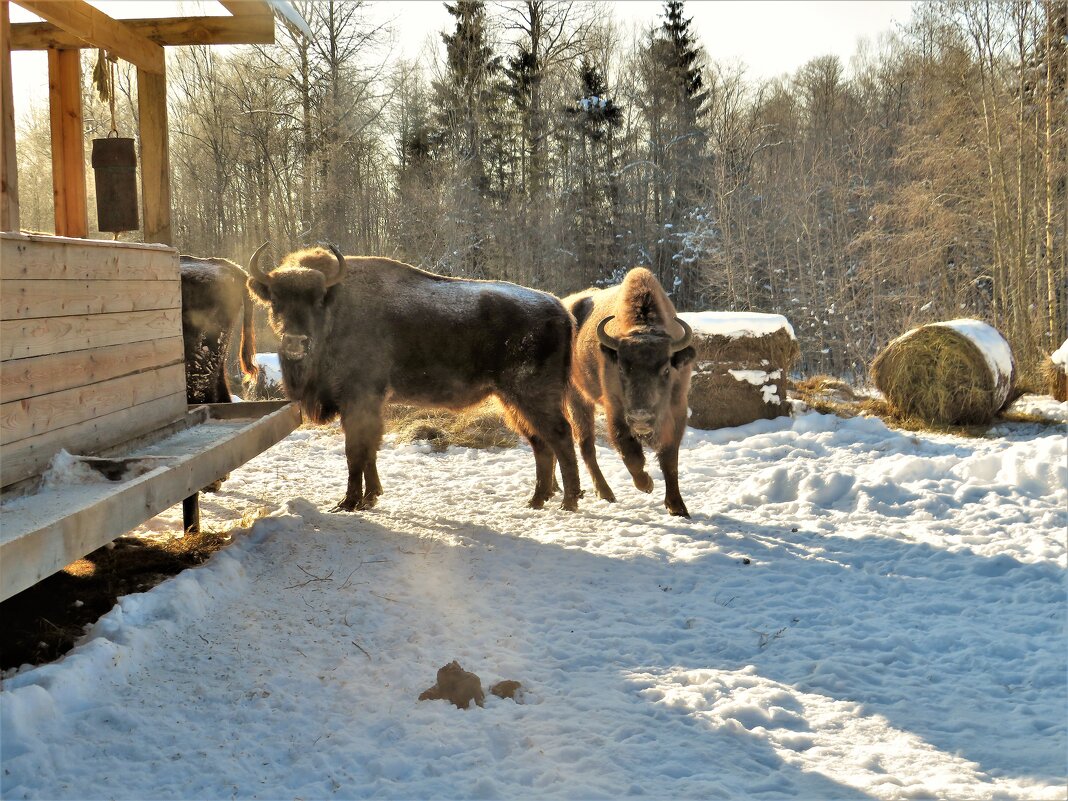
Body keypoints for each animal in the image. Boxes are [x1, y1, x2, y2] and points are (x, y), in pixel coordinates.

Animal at [245, 244, 580, 514]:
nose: (295, 342)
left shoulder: (359, 399)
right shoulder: (366, 405)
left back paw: (569, 501)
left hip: (532, 395)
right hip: (512, 400)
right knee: (540, 442)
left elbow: (356, 450)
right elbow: (369, 449)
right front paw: (371, 497)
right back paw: (537, 500)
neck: (337, 307)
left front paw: (349, 503)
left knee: (560, 436)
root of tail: (561, 310)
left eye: (317, 301)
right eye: (275, 301)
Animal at [563, 270, 696, 516]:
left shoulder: (677, 409)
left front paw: (678, 507)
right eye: (622, 369)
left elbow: (669, 459)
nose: (641, 418)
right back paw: (606, 493)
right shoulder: (615, 409)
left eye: (666, 369)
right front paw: (647, 484)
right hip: (577, 400)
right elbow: (630, 453)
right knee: (587, 446)